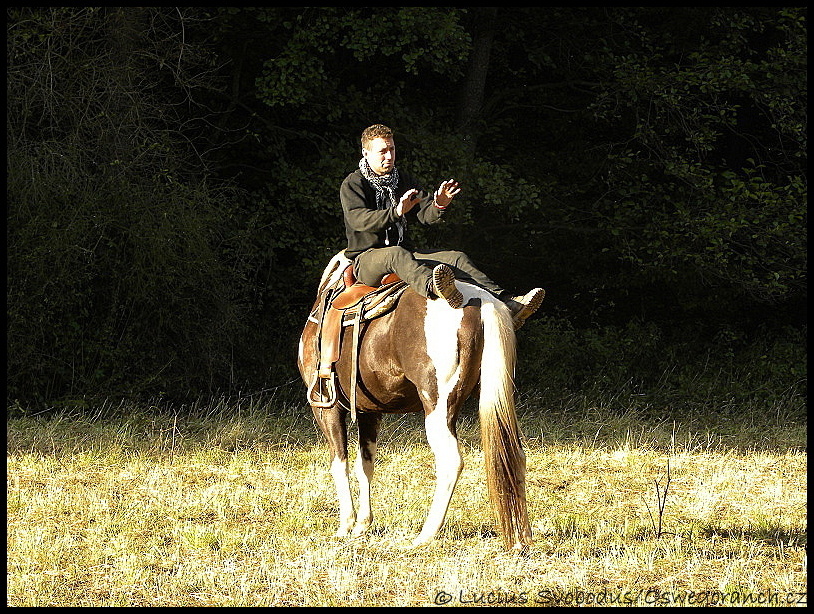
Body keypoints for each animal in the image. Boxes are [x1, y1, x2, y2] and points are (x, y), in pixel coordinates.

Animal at [296, 253, 532, 552]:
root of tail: (480, 301)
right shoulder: (369, 412)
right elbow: (365, 465)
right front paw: (362, 525)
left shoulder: (326, 406)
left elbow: (340, 463)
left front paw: (346, 525)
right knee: (516, 456)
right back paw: (522, 536)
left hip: (438, 409)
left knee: (451, 462)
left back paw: (426, 534)